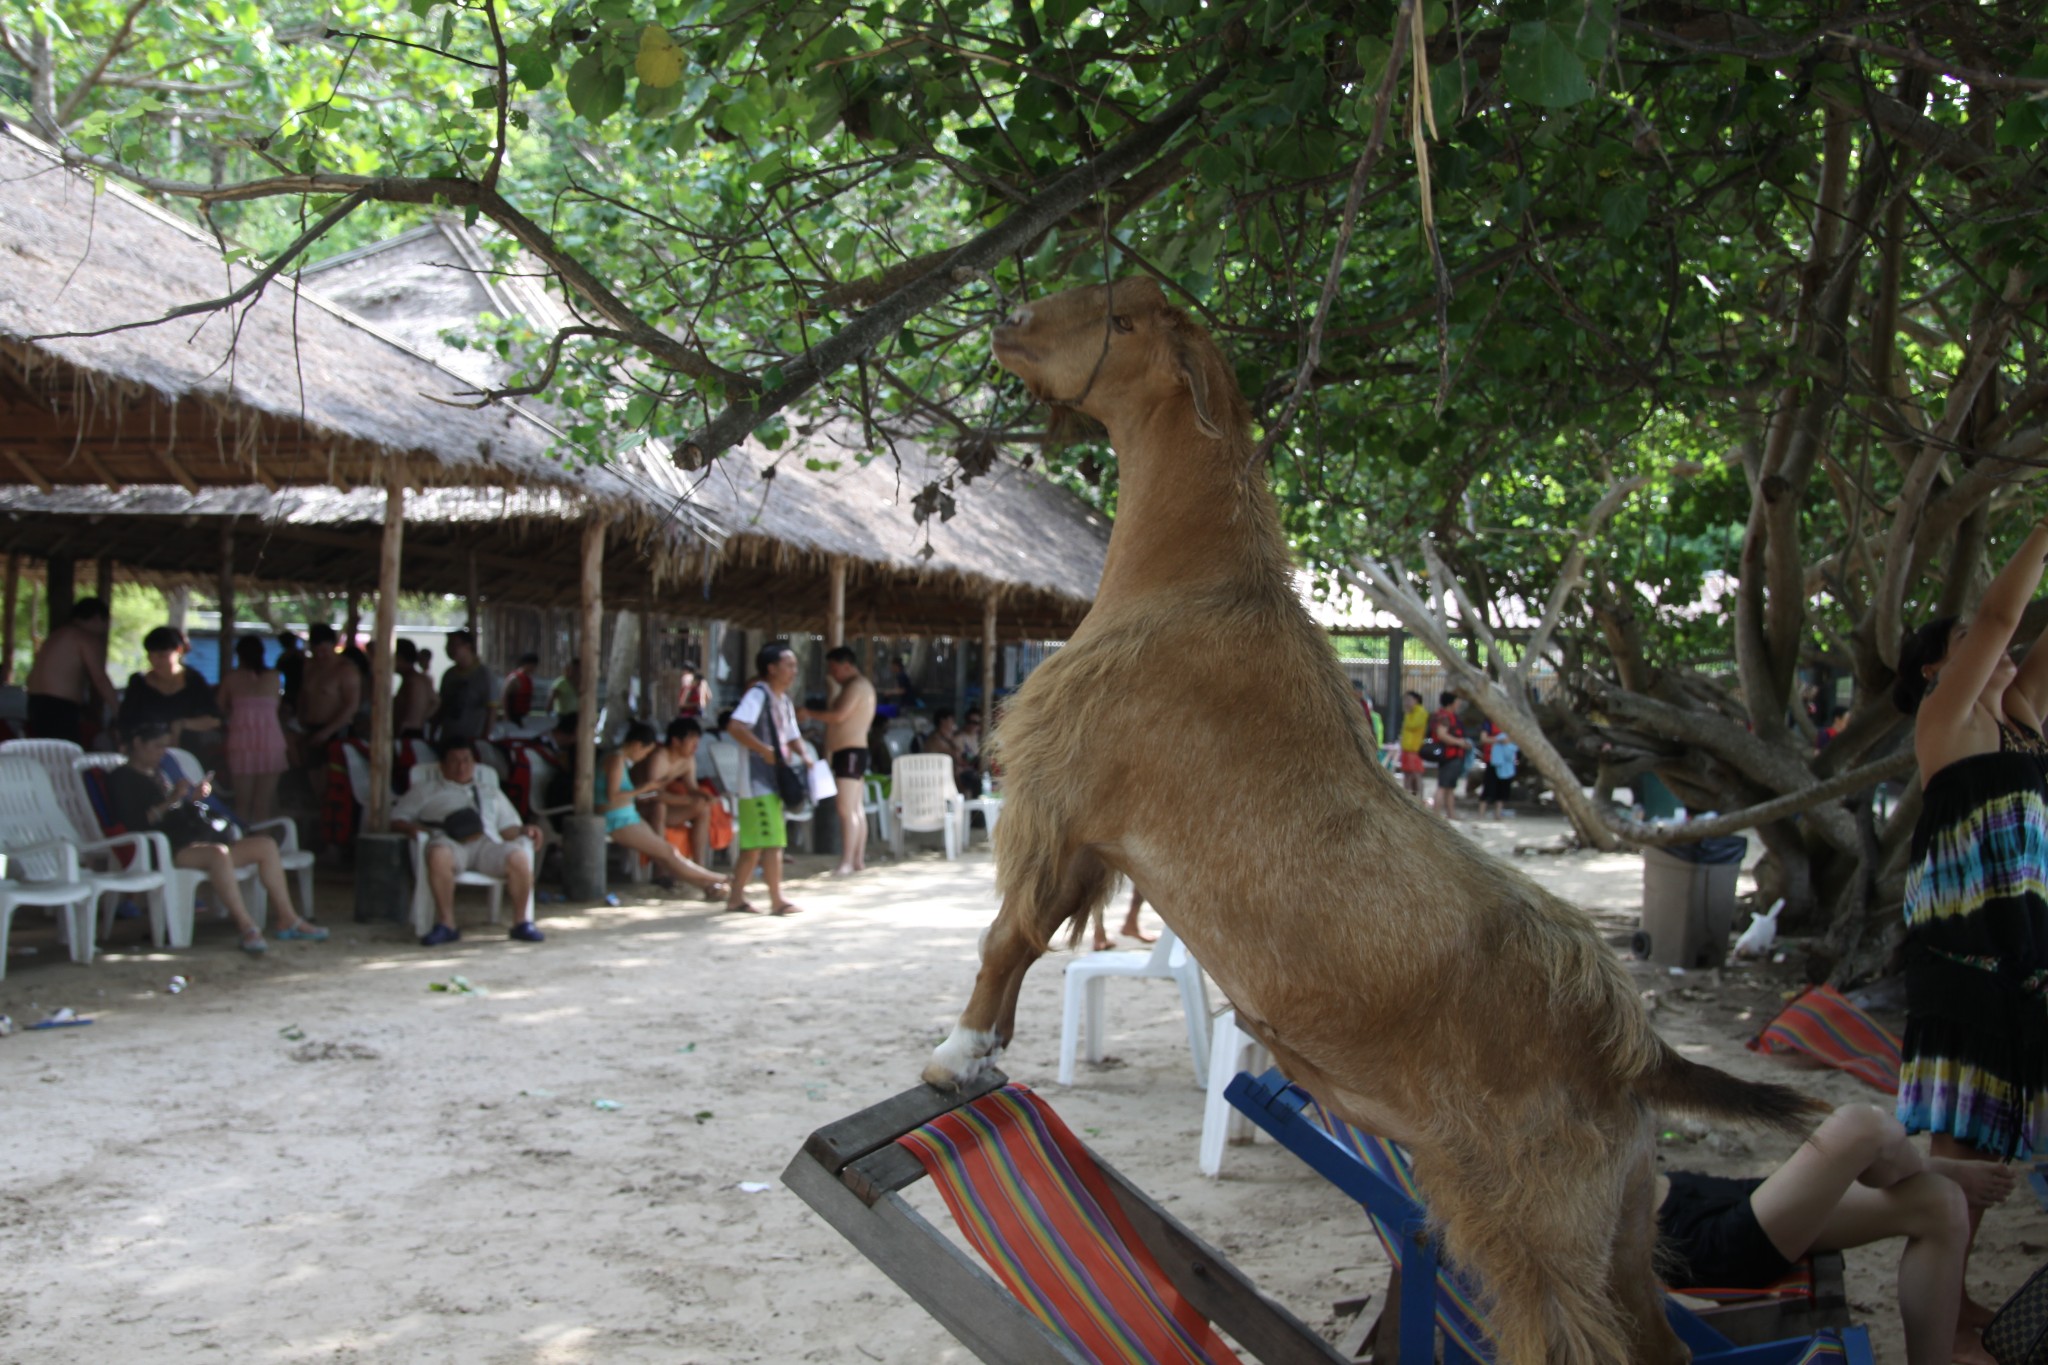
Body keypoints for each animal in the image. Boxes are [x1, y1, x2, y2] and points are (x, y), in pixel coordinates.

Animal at [921, 278, 1818, 1365]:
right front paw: (986, 1051)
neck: (1194, 584)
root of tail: (1638, 1052)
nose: (1009, 321)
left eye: (1124, 321)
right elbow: (1032, 939)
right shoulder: (1090, 840)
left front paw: (955, 1054)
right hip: (1618, 1227)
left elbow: (1008, 936)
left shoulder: (1066, 800)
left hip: (1537, 1225)